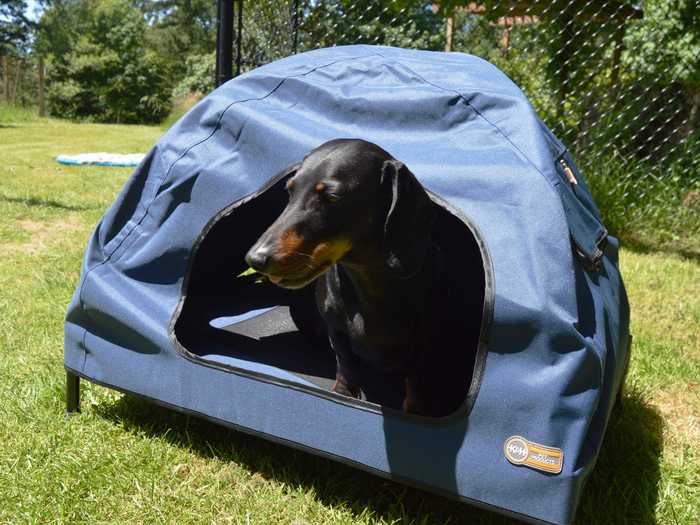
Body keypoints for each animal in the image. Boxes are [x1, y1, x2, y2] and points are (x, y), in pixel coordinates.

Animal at [243, 139, 468, 418]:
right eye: (289, 191)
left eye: (332, 197)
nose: (255, 258)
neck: (372, 285)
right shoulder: (336, 329)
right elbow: (346, 364)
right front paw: (343, 395)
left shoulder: (424, 342)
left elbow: (416, 382)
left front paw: (415, 410)